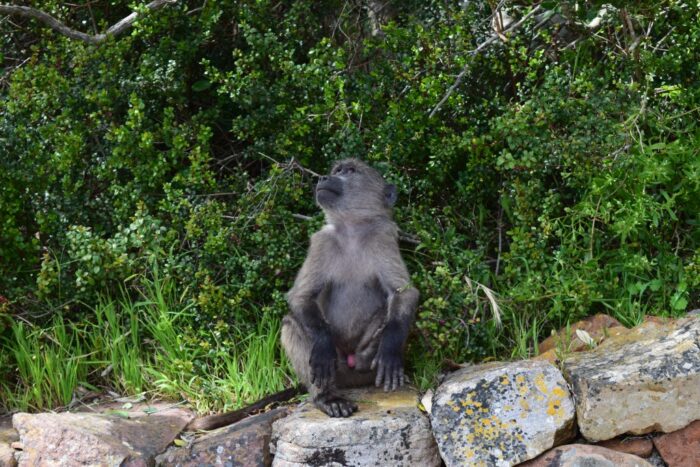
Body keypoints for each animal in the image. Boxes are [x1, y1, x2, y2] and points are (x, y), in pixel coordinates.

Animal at [281, 158, 419, 418]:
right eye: (337, 170)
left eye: (350, 171)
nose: (323, 178)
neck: (352, 229)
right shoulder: (321, 241)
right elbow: (301, 296)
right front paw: (322, 345)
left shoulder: (383, 237)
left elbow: (404, 293)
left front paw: (389, 348)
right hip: (338, 369)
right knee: (290, 323)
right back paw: (327, 397)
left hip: (364, 369)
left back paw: (370, 351)